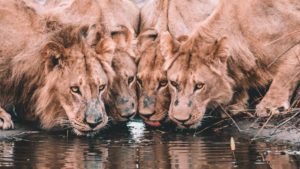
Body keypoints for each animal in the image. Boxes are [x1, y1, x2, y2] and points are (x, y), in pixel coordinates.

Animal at [162, 0, 300, 128]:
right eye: (173, 83)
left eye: (199, 85)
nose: (180, 119)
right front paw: (234, 104)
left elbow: (285, 73)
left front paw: (270, 106)